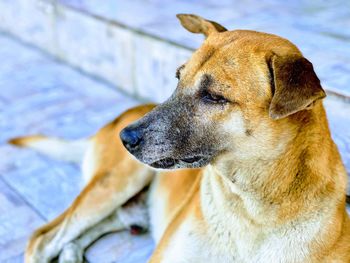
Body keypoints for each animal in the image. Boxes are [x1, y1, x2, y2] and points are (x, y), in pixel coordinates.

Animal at [8, 14, 350, 263]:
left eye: (213, 97)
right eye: (177, 79)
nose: (125, 138)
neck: (251, 210)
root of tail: (119, 117)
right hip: (115, 183)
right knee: (42, 239)